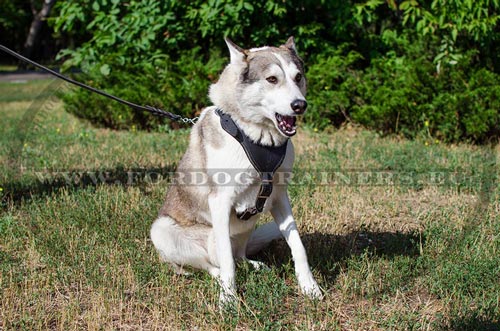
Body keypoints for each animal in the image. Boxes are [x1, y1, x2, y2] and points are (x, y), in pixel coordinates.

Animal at [149, 37, 320, 304]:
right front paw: (228, 299)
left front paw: (310, 287)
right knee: (213, 264)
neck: (256, 135)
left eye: (298, 77)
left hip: (248, 225)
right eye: (272, 79)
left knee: (238, 255)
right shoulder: (220, 201)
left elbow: (298, 246)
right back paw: (221, 278)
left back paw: (254, 265)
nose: (299, 105)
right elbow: (227, 260)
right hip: (162, 231)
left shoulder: (279, 197)